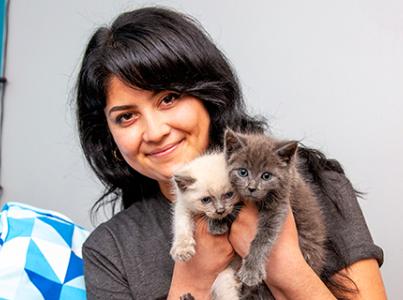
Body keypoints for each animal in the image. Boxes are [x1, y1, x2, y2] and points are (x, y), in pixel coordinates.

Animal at [224, 129, 328, 288]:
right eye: (243, 172)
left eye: (266, 176)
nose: (252, 188)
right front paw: (216, 222)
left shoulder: (279, 205)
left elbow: (263, 237)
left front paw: (251, 270)